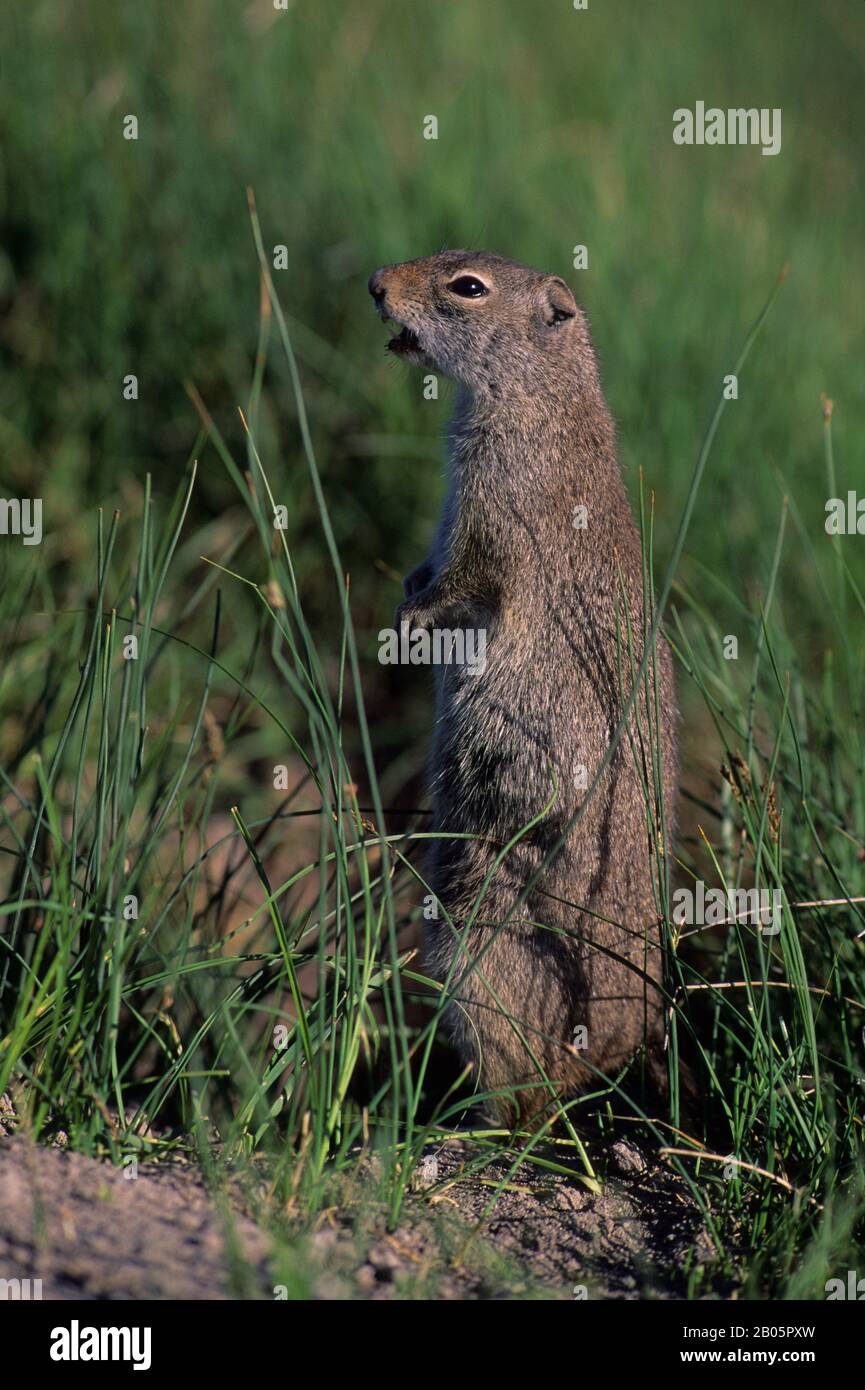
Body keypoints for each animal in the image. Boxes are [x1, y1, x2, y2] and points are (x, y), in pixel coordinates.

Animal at [369, 250, 681, 1128]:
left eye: (466, 287)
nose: (374, 285)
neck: (543, 397)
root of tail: (612, 1062)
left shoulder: (496, 521)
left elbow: (468, 581)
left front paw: (409, 620)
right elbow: (430, 569)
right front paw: (404, 596)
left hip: (480, 940)